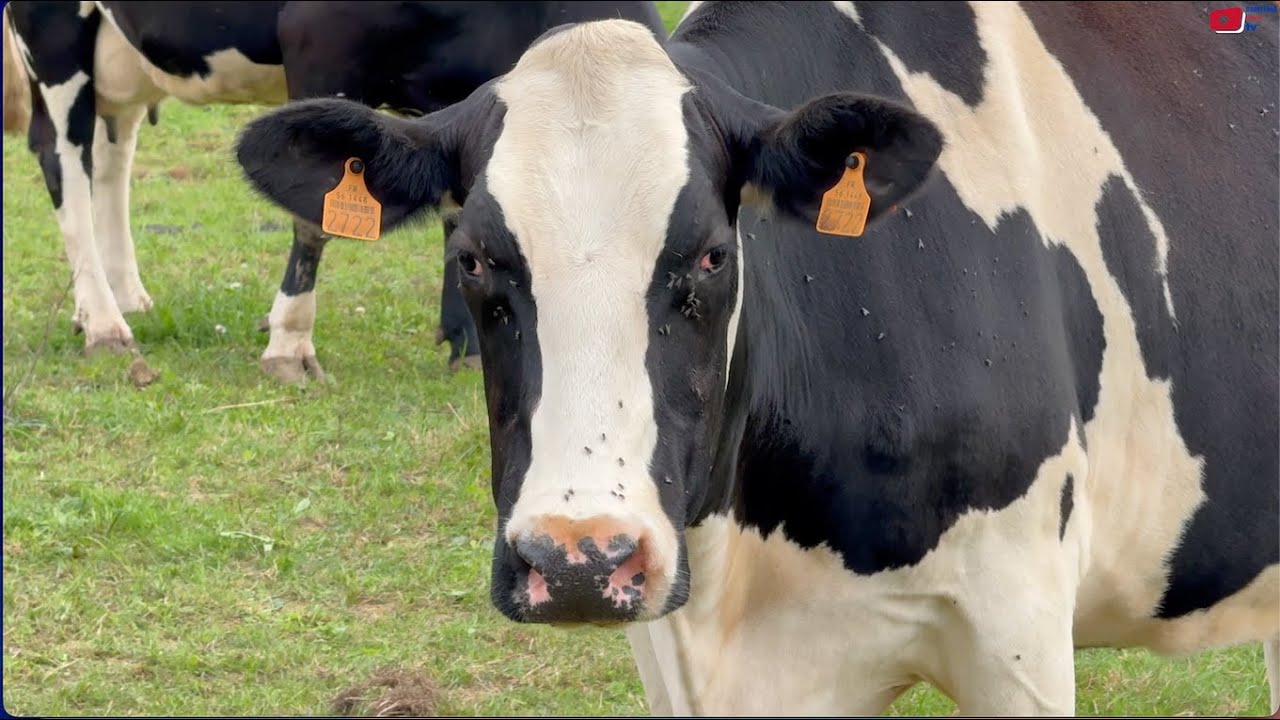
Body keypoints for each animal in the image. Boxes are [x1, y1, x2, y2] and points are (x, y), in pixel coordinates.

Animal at [2, 0, 667, 381]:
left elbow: (451, 208)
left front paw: (466, 341)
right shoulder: (320, 42)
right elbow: (313, 220)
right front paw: (289, 345)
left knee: (113, 152)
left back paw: (124, 297)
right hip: (54, 35)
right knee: (63, 158)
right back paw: (104, 323)